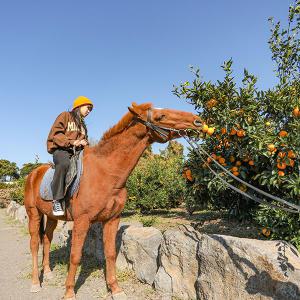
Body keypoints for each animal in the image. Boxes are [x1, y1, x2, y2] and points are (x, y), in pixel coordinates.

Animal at [24, 101, 202, 300]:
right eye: (160, 116)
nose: (198, 121)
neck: (107, 172)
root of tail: (33, 174)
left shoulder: (112, 219)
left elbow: (110, 254)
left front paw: (115, 289)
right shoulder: (81, 221)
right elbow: (75, 256)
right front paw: (69, 292)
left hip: (52, 217)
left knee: (47, 239)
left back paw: (47, 272)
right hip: (33, 214)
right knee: (34, 245)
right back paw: (35, 283)